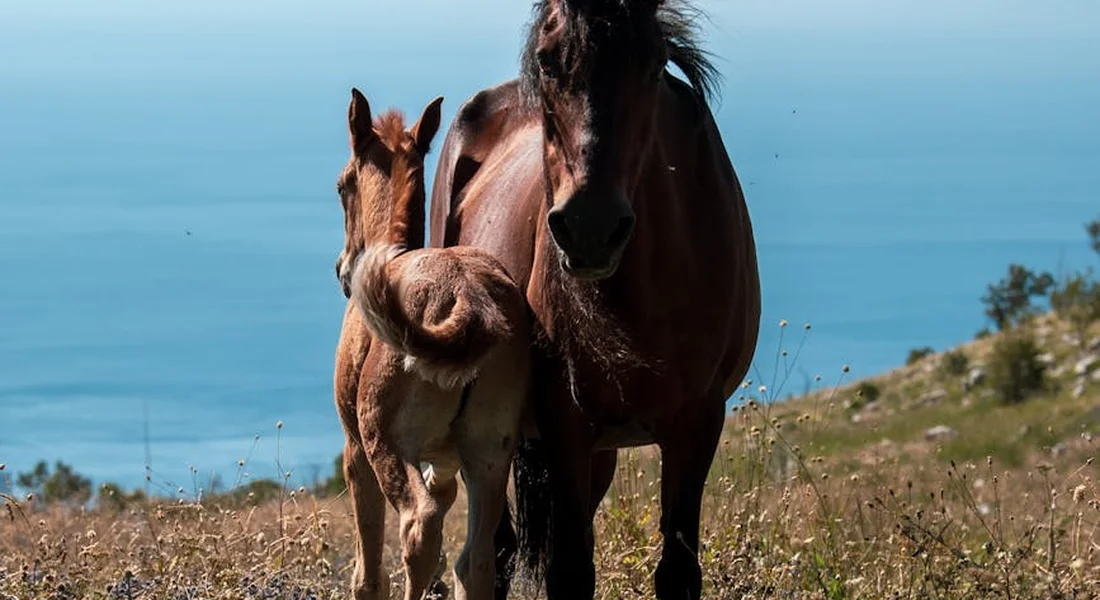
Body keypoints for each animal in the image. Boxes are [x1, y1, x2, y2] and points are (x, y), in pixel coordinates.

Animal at [332, 89, 531, 600]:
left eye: (342, 186)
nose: (342, 270)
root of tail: (467, 300)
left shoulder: (355, 447)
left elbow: (368, 572)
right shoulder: (444, 463)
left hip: (386, 440)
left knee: (418, 529)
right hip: (490, 450)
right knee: (476, 559)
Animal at [427, 1, 761, 598]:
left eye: (652, 62)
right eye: (546, 59)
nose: (589, 228)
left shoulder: (699, 423)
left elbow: (677, 572)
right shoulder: (566, 425)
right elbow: (569, 571)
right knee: (497, 550)